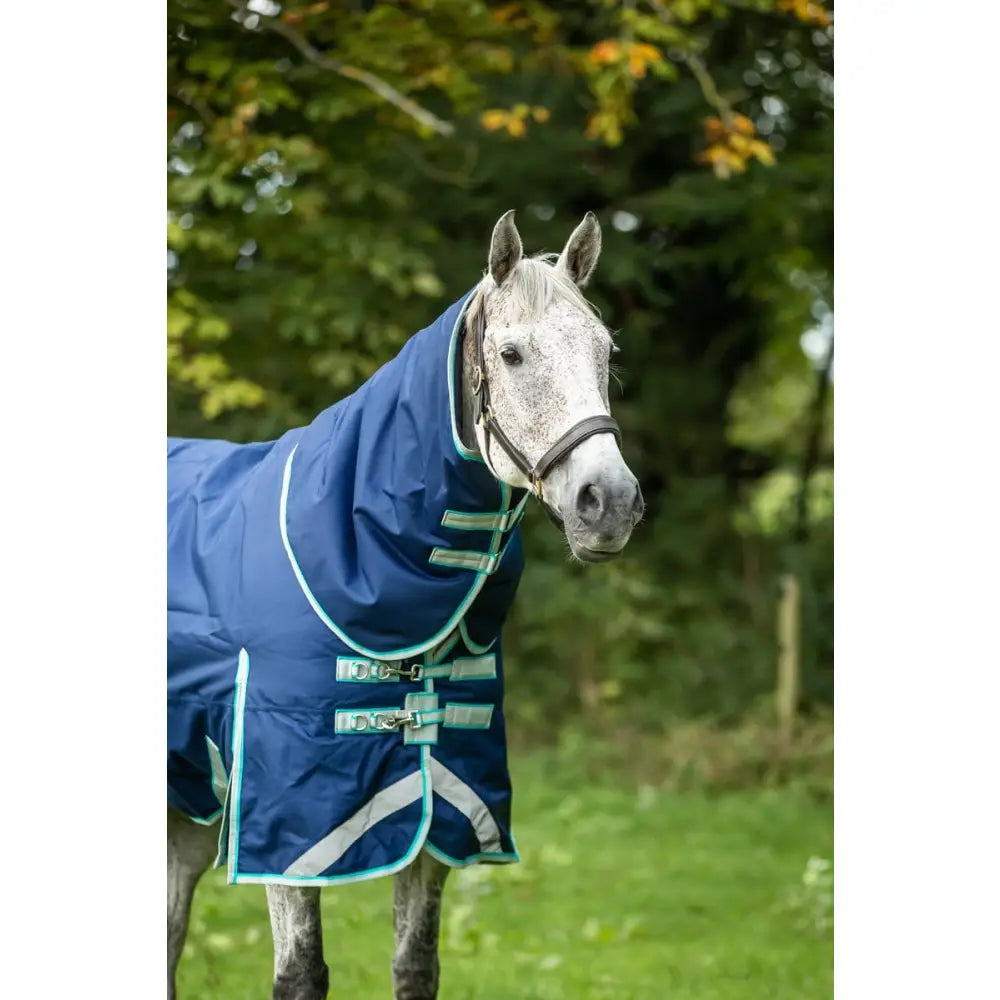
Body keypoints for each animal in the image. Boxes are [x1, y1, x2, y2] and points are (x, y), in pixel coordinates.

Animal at [167, 209, 643, 999]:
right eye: (510, 354)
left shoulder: (441, 812)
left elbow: (416, 964)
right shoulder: (289, 819)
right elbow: (301, 973)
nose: (609, 503)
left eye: (606, 353)